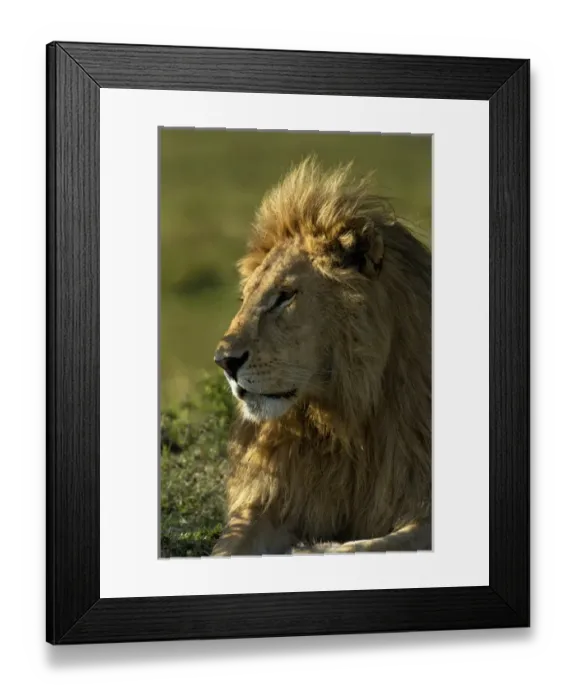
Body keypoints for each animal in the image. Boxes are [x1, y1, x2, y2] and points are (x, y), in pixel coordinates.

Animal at [210, 156, 431, 556]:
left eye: (284, 296)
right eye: (246, 297)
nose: (224, 362)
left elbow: (371, 546)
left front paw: (312, 549)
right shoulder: (274, 495)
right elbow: (226, 548)